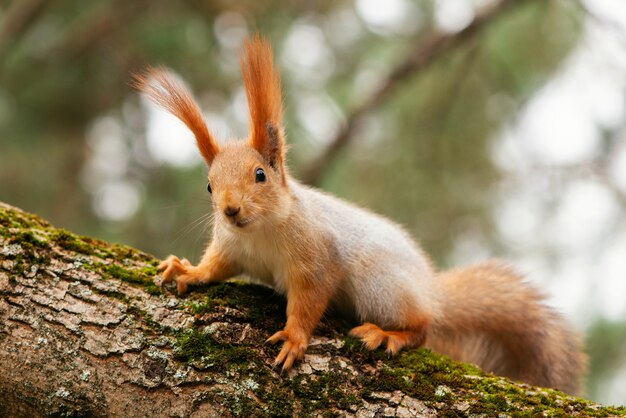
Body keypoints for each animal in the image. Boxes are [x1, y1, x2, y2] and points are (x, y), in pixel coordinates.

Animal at [132, 34, 584, 394]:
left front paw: (294, 338)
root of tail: (430, 289)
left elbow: (309, 299)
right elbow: (215, 267)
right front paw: (188, 270)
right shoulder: (231, 247)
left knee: (423, 327)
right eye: (209, 185)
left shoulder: (317, 259)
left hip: (380, 286)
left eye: (260, 175)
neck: (259, 231)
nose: (229, 210)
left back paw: (388, 334)